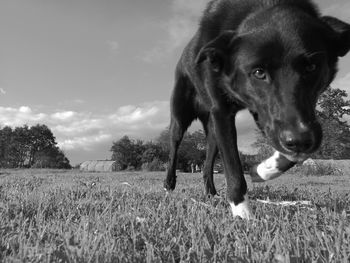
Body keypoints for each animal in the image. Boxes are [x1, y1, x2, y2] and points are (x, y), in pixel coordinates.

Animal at [164, 0, 350, 219]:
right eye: (259, 72)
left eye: (311, 67)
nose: (300, 141)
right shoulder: (221, 112)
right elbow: (233, 168)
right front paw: (242, 214)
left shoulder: (274, 116)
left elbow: (286, 147)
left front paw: (264, 169)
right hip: (180, 116)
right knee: (174, 147)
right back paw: (169, 184)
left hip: (213, 132)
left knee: (207, 163)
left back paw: (211, 193)